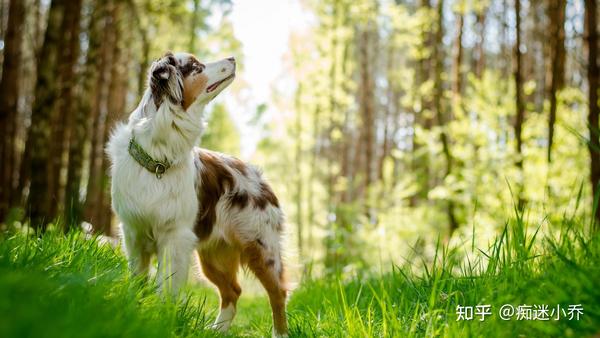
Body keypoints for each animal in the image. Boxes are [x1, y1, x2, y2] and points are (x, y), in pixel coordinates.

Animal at [107, 51, 288, 336]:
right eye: (196, 66)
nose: (233, 58)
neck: (159, 156)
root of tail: (260, 177)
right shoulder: (133, 234)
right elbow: (138, 281)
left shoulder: (175, 237)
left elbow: (165, 288)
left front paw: (160, 320)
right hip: (213, 256)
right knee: (233, 291)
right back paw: (217, 330)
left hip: (261, 248)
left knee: (278, 293)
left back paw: (279, 332)